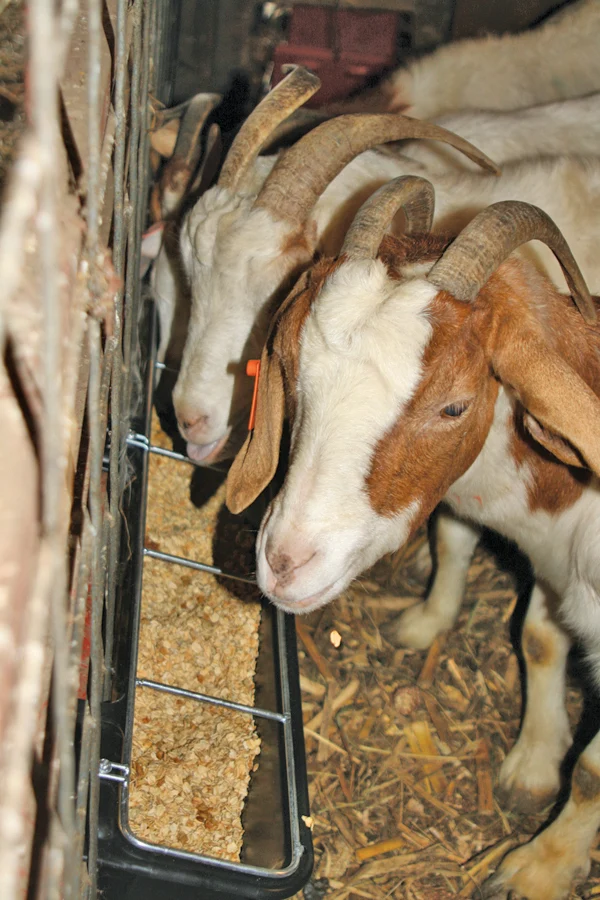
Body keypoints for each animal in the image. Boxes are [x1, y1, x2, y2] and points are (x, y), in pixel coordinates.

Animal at [226, 178, 600, 899]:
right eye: (291, 365)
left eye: (454, 406)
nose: (285, 561)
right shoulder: (549, 568)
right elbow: (537, 637)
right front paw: (533, 764)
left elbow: (594, 771)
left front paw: (538, 868)